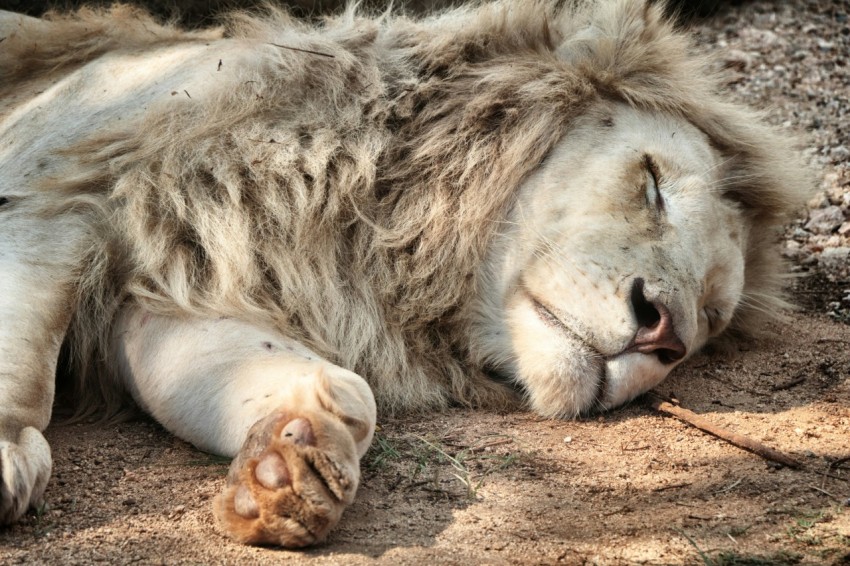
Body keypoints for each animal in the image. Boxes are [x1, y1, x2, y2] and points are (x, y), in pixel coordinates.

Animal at [0, 0, 808, 552]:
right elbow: (24, 337)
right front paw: (8, 452)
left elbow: (330, 385)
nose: (662, 331)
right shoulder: (63, 177)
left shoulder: (167, 288)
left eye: (710, 320)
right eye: (652, 183)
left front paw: (289, 463)